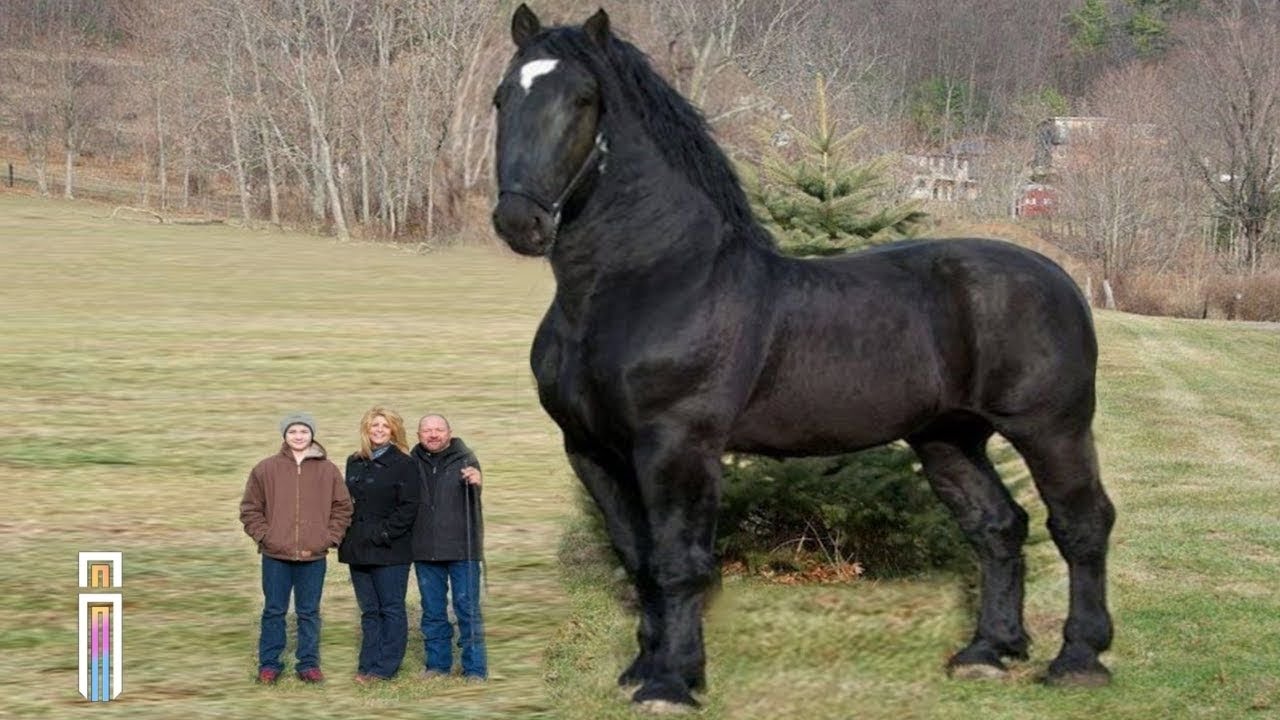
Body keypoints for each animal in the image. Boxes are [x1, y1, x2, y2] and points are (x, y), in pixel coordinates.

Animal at [491, 4, 1115, 711]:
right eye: (503, 96)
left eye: (583, 99)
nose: (519, 222)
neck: (645, 283)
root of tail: (1060, 277)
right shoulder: (591, 450)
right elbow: (639, 559)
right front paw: (646, 667)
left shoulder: (677, 445)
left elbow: (679, 563)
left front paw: (672, 683)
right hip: (949, 438)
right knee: (998, 526)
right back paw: (988, 652)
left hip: (1051, 428)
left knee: (1081, 524)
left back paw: (1078, 658)